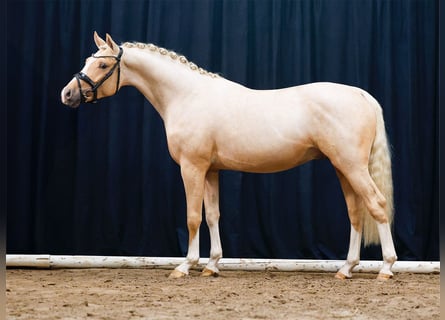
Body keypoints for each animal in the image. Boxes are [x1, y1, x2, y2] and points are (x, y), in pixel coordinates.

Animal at [61, 32, 396, 280]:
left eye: (103, 66)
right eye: (88, 60)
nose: (67, 94)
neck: (187, 96)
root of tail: (361, 95)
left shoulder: (192, 168)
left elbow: (193, 217)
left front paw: (185, 266)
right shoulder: (211, 170)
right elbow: (212, 215)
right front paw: (212, 266)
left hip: (352, 167)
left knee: (377, 205)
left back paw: (386, 268)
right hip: (343, 168)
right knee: (355, 213)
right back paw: (346, 269)